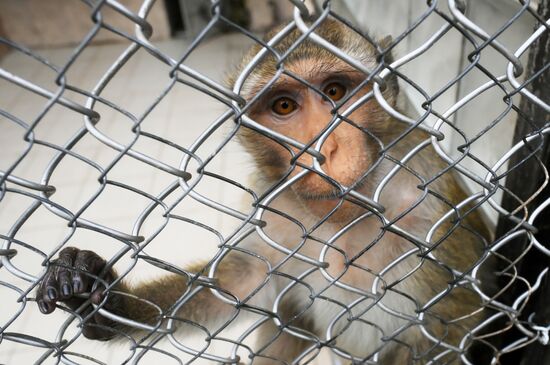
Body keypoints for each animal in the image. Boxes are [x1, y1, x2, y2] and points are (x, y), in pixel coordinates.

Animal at [36, 19, 494, 364]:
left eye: (335, 91)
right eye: (284, 106)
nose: (322, 150)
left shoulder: (433, 210)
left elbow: (452, 323)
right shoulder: (273, 216)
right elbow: (235, 288)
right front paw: (100, 297)